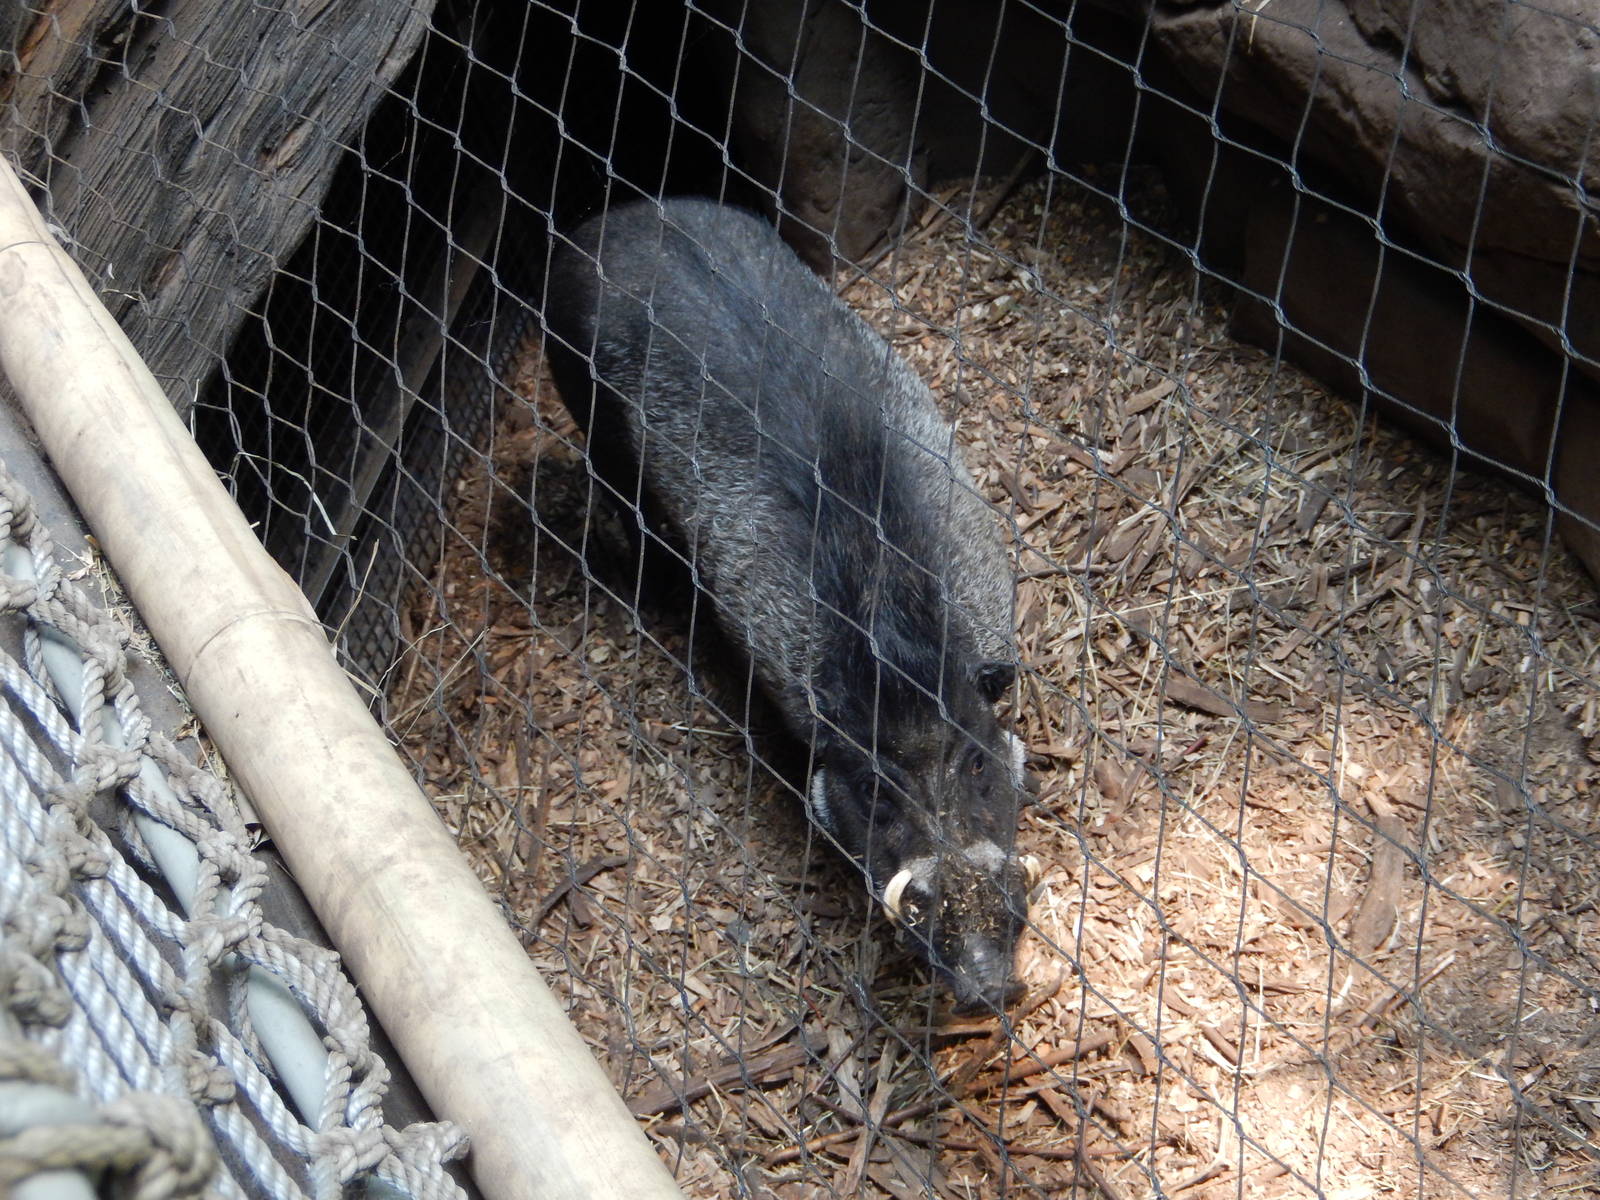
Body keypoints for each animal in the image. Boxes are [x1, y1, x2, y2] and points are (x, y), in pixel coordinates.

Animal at [542, 195, 1039, 1010]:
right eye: (872, 790)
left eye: (975, 762)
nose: (985, 982)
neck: (895, 648)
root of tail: (609, 220)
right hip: (590, 418)